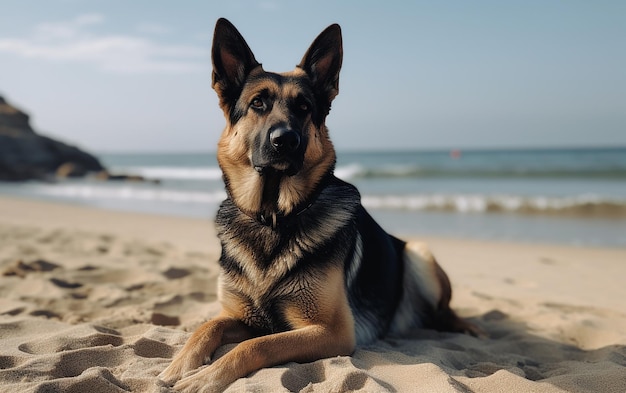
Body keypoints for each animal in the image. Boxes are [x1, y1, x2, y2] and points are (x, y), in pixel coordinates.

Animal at [158, 19, 476, 392]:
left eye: (304, 107)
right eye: (258, 103)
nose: (285, 140)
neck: (274, 217)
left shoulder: (332, 331)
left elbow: (257, 345)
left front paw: (206, 377)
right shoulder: (240, 316)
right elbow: (207, 326)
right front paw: (178, 366)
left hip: (418, 252)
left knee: (444, 311)